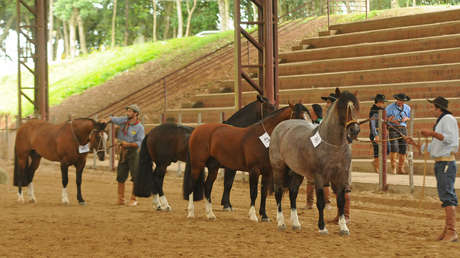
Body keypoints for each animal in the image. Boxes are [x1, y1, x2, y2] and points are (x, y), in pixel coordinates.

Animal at [270, 89, 360, 236]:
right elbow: (321, 202)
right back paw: (281, 223)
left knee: (293, 193)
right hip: (278, 169)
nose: (355, 130)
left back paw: (296, 224)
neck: (333, 145)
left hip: (297, 172)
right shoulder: (320, 177)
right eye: (342, 107)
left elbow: (341, 201)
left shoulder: (341, 177)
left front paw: (344, 228)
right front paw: (322, 227)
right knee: (278, 193)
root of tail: (280, 127)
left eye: (357, 107)